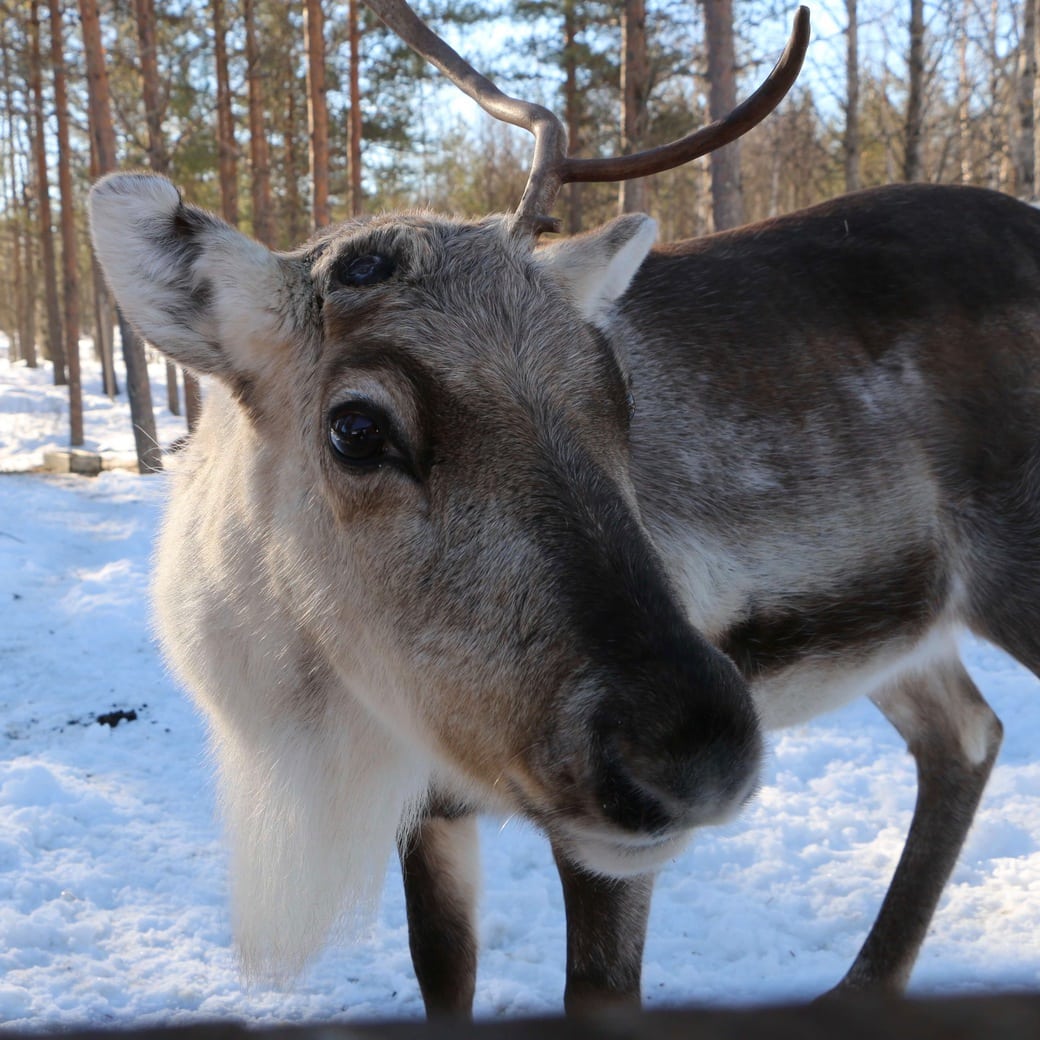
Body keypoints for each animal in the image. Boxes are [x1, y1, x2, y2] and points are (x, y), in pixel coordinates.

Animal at [88, 0, 1037, 1017]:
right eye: (355, 427)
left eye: (616, 392)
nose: (697, 752)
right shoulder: (432, 808)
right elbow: (442, 971)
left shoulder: (606, 841)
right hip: (908, 631)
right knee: (966, 736)